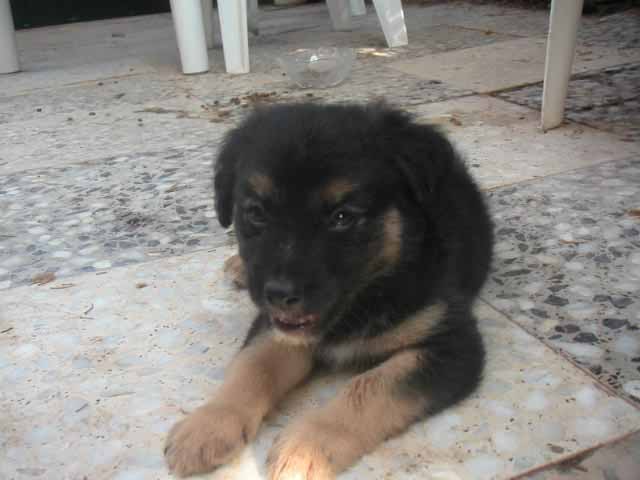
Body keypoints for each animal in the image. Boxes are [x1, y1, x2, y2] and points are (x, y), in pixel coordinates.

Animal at [164, 102, 493, 479]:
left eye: (341, 217)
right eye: (256, 213)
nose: (278, 295)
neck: (371, 292)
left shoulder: (451, 344)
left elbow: (370, 387)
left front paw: (308, 447)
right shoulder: (274, 326)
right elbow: (253, 364)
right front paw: (209, 424)